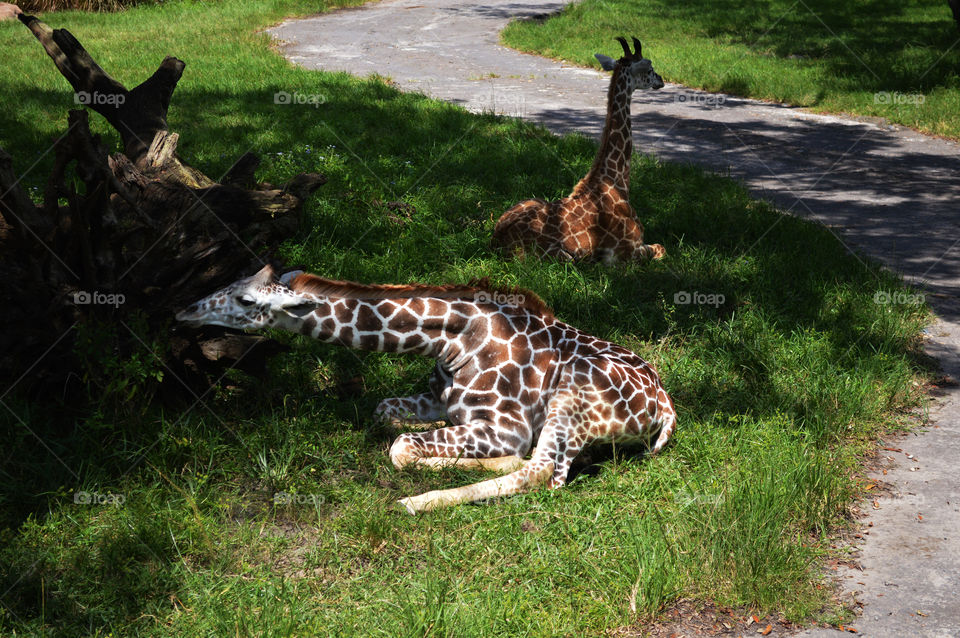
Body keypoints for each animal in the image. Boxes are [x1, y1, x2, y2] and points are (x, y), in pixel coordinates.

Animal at [178, 264, 676, 516]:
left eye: (244, 299)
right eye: (230, 282)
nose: (184, 312)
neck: (452, 338)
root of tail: (666, 405)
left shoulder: (505, 427)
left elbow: (400, 447)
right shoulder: (439, 399)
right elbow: (385, 415)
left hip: (570, 400)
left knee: (541, 474)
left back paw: (416, 502)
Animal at [492, 37, 664, 264]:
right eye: (650, 69)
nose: (661, 80)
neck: (617, 181)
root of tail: (497, 242)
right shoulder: (628, 252)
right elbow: (662, 248)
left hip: (531, 199)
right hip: (564, 257)